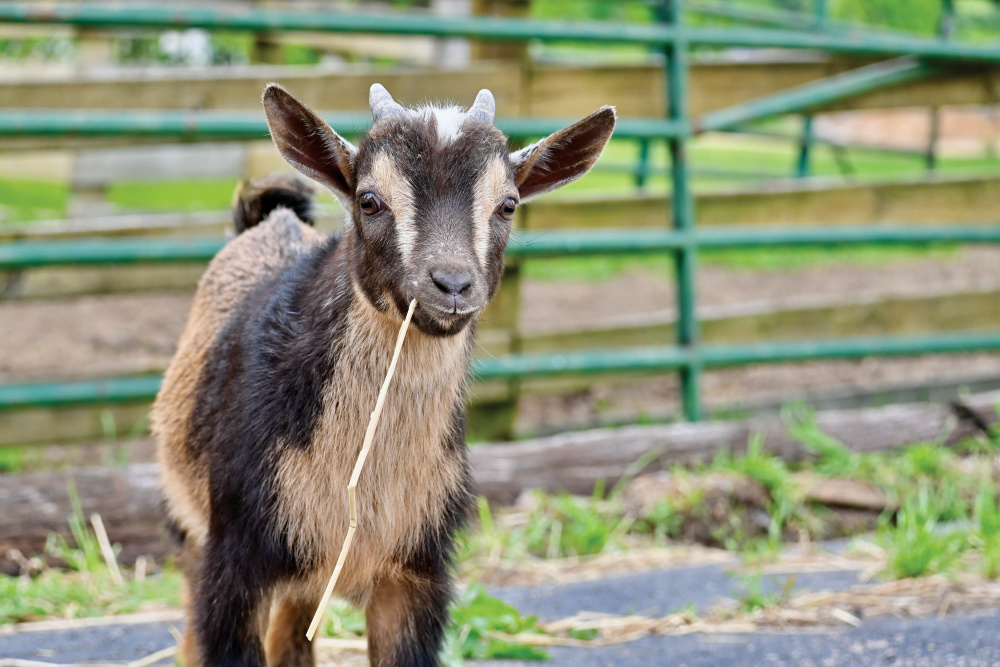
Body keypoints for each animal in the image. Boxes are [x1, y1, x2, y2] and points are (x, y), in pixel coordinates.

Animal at [152, 82, 615, 667]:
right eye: (368, 200)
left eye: (508, 205)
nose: (452, 284)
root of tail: (268, 221)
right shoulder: (235, 564)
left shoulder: (414, 574)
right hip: (187, 522)